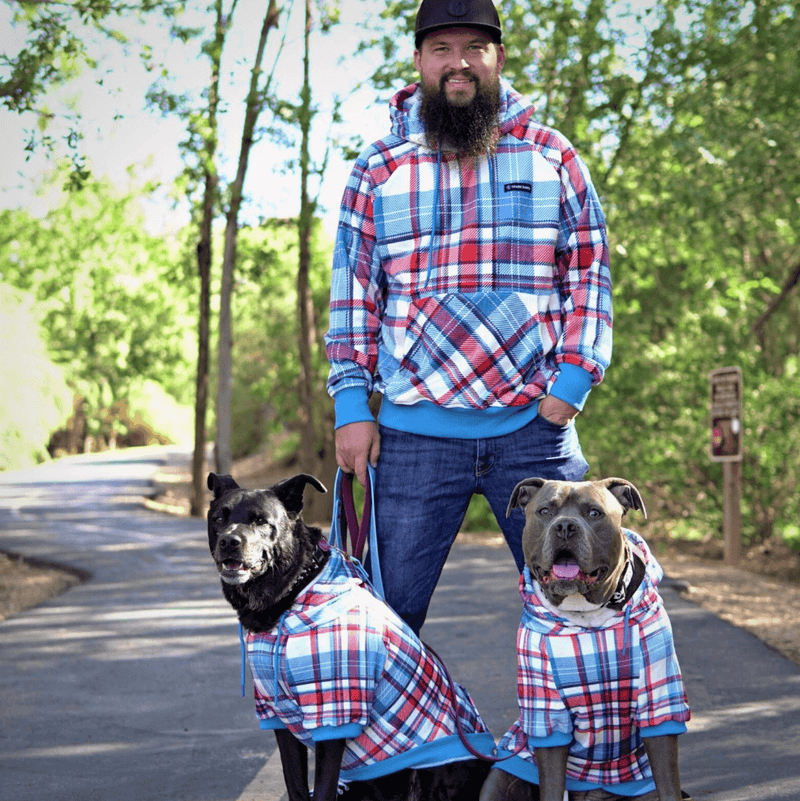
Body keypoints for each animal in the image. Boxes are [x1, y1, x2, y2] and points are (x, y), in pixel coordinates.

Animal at [206, 468, 490, 800]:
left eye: (261, 521)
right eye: (219, 518)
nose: (229, 541)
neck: (291, 595)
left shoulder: (334, 716)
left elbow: (322, 790)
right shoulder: (277, 715)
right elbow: (297, 787)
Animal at [482, 476, 692, 800]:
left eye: (594, 513)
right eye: (544, 511)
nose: (565, 526)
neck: (587, 619)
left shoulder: (659, 702)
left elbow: (668, 783)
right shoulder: (548, 715)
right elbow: (552, 787)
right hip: (498, 779)